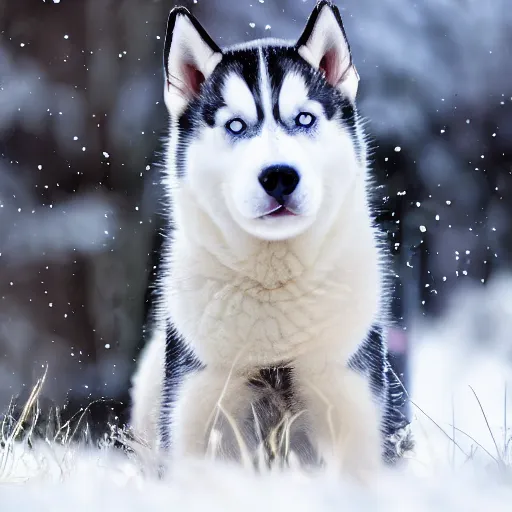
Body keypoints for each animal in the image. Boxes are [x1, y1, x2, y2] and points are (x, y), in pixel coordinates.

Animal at [131, 2, 408, 478]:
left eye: (304, 119)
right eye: (236, 124)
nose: (279, 175)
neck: (273, 285)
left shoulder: (349, 397)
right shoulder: (197, 406)